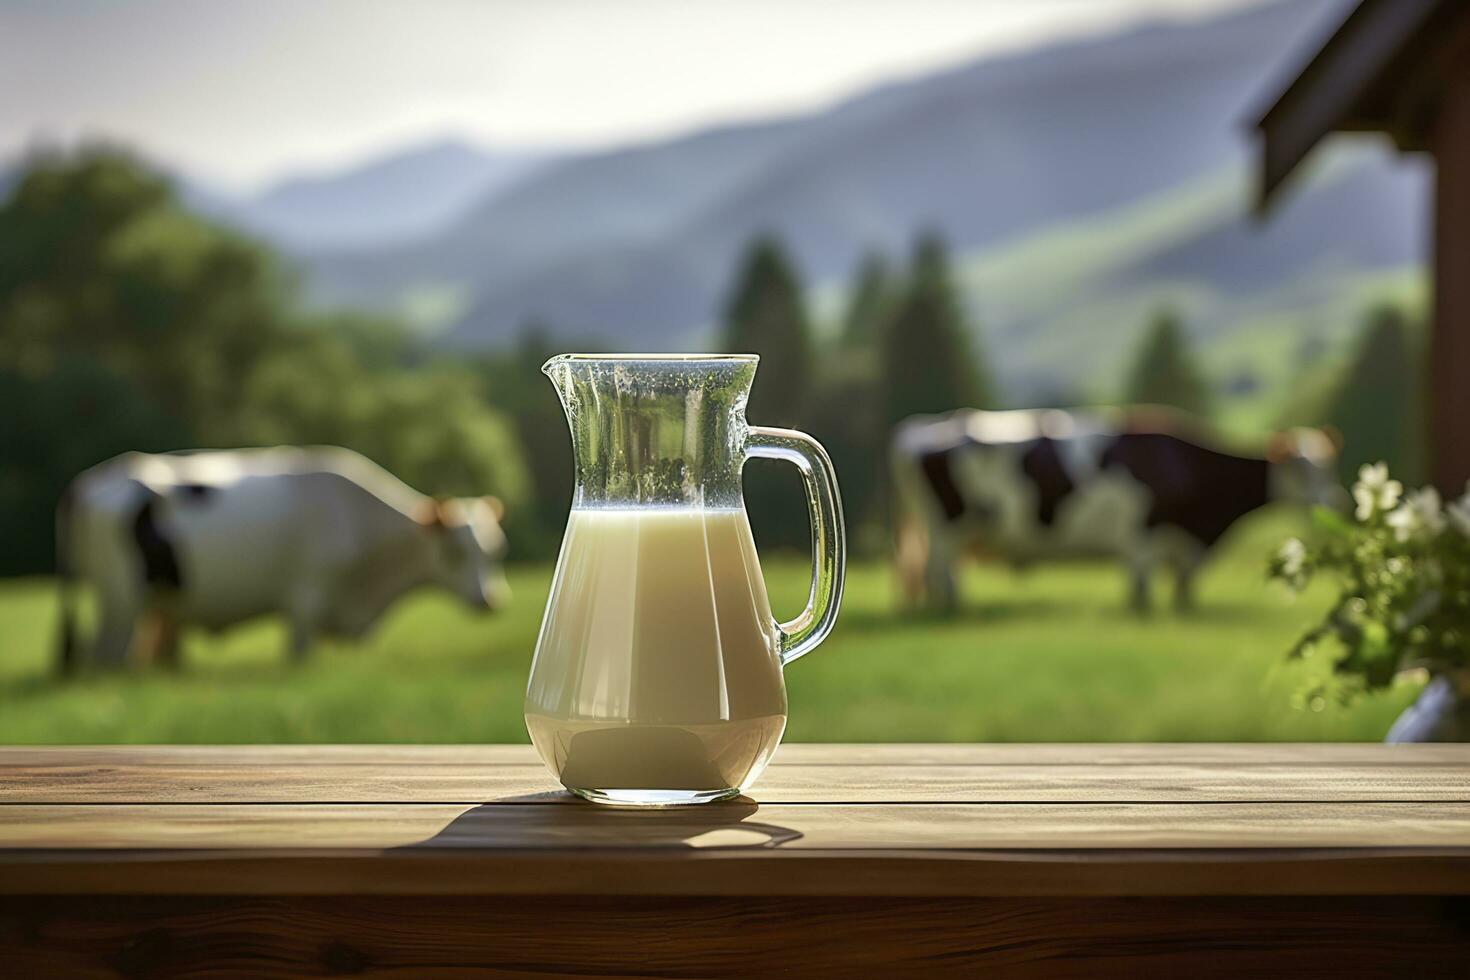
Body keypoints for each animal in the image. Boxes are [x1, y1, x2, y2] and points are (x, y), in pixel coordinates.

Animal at [55, 446, 511, 669]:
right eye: (454, 552)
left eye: (495, 549)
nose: (491, 600)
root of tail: (88, 481)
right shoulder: (306, 599)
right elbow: (299, 656)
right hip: (121, 600)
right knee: (106, 658)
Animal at [887, 408, 1346, 614]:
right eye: (1301, 469)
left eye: (1327, 463)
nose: (1334, 502)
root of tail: (922, 427)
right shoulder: (1142, 537)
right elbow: (1140, 590)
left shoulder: (1182, 545)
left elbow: (1183, 588)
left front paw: (1182, 610)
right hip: (946, 528)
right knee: (942, 572)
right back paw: (952, 610)